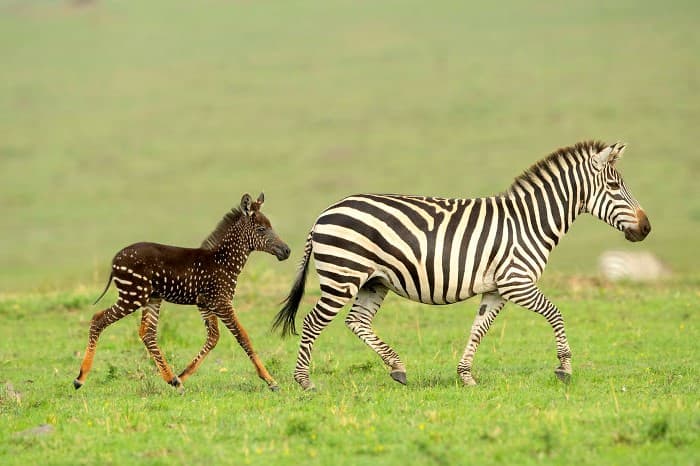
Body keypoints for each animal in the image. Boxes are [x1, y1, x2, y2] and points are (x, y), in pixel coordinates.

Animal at [74, 193, 291, 392]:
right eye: (261, 229)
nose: (287, 251)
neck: (224, 261)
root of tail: (114, 260)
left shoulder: (205, 304)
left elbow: (213, 338)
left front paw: (182, 376)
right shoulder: (221, 302)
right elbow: (243, 337)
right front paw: (270, 380)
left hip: (151, 298)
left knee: (147, 333)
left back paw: (172, 379)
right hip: (132, 296)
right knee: (98, 319)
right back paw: (80, 378)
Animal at [273, 141, 651, 390]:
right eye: (615, 186)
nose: (646, 228)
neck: (530, 222)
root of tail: (323, 214)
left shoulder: (496, 289)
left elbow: (478, 329)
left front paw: (466, 375)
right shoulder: (516, 282)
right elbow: (556, 313)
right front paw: (565, 368)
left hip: (373, 281)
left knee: (357, 321)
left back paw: (397, 368)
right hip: (343, 276)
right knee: (312, 322)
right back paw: (304, 381)